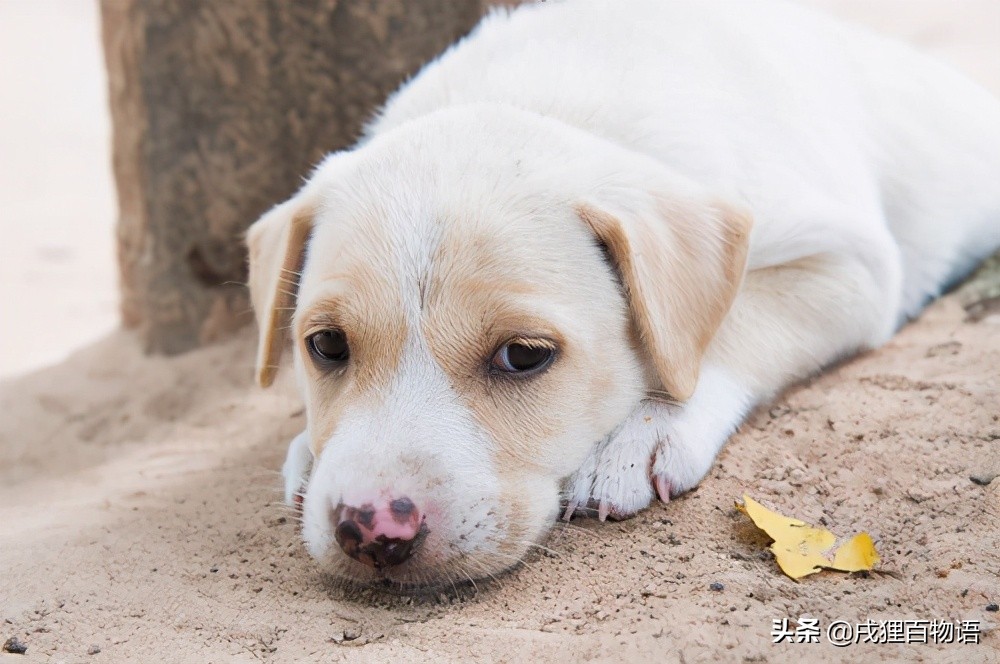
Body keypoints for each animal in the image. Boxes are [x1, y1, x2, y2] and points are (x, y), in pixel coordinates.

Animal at [246, 0, 1000, 588]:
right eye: (326, 345)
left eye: (524, 356)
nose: (372, 530)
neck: (543, 97)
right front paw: (309, 449)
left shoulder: (851, 265)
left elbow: (727, 325)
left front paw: (645, 432)